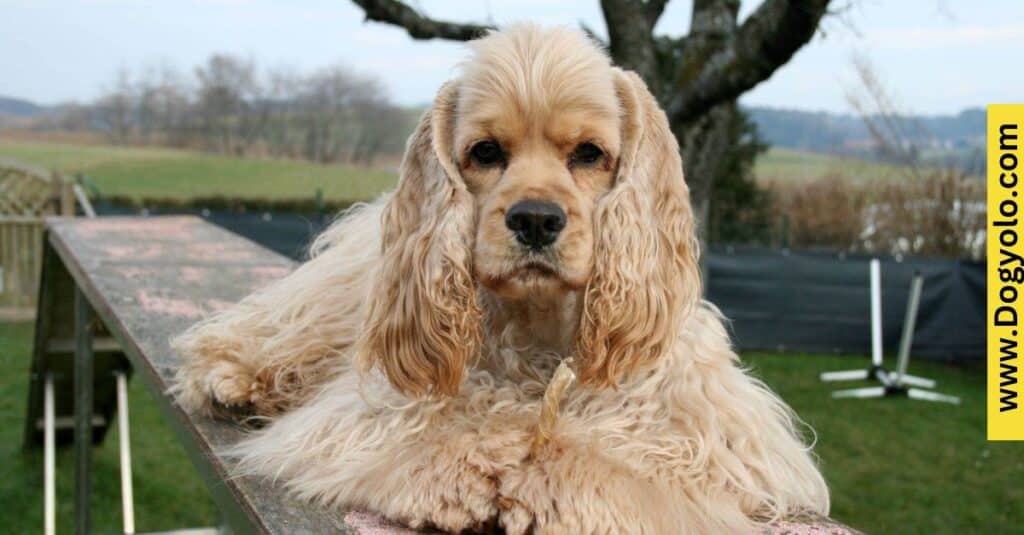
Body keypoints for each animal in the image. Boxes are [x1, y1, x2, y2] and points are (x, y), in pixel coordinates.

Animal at [174, 23, 831, 532]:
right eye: (486, 152)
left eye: (590, 153)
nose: (535, 218)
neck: (541, 325)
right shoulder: (361, 415)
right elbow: (435, 424)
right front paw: (475, 462)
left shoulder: (717, 437)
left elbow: (627, 458)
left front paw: (554, 475)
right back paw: (234, 378)